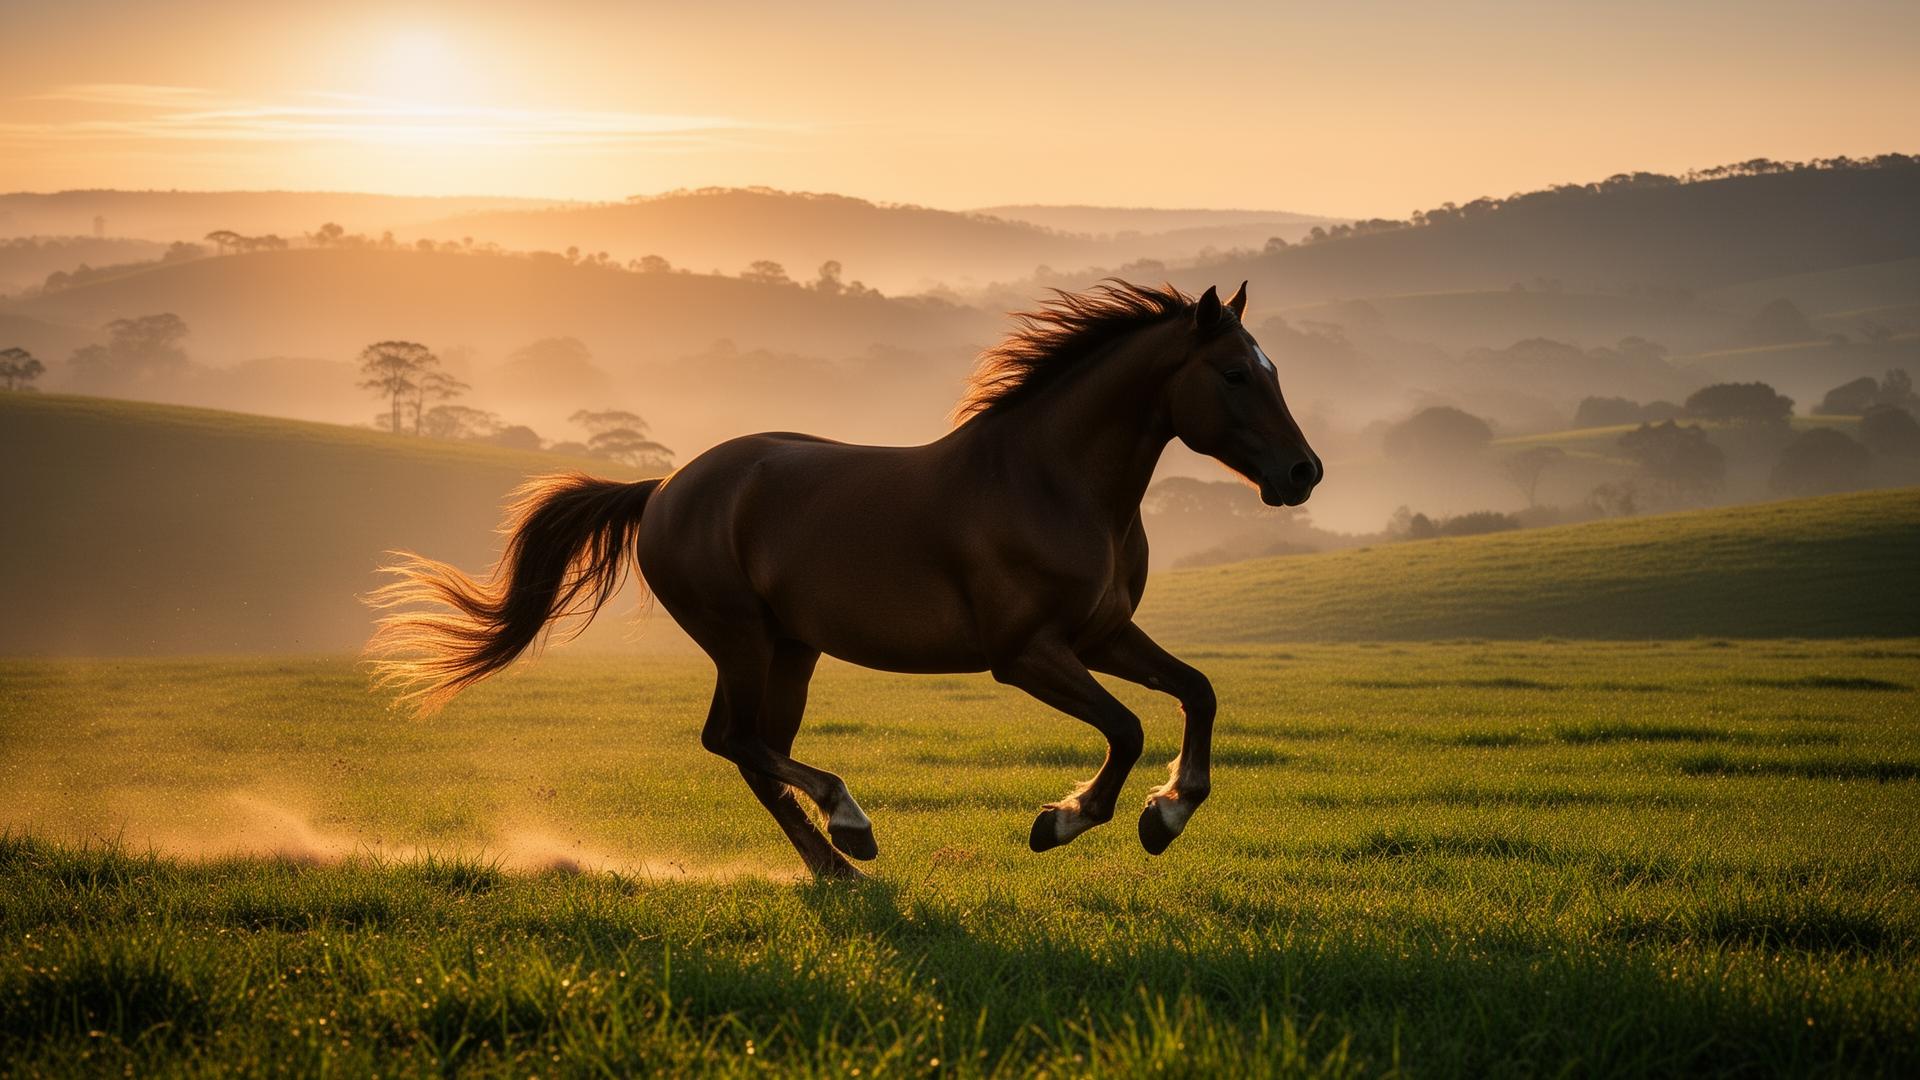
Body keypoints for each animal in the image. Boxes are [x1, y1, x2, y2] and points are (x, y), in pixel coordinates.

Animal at [369, 280, 1322, 878]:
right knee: (733, 741)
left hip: (791, 650)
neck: (1052, 482)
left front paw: (1168, 814)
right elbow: (1125, 728)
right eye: (1235, 373)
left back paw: (836, 867)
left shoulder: (1103, 635)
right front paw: (1064, 821)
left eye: (1274, 370)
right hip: (743, 639)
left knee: (750, 750)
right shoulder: (1027, 655)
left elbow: (1197, 692)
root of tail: (666, 487)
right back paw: (851, 826)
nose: (1303, 473)